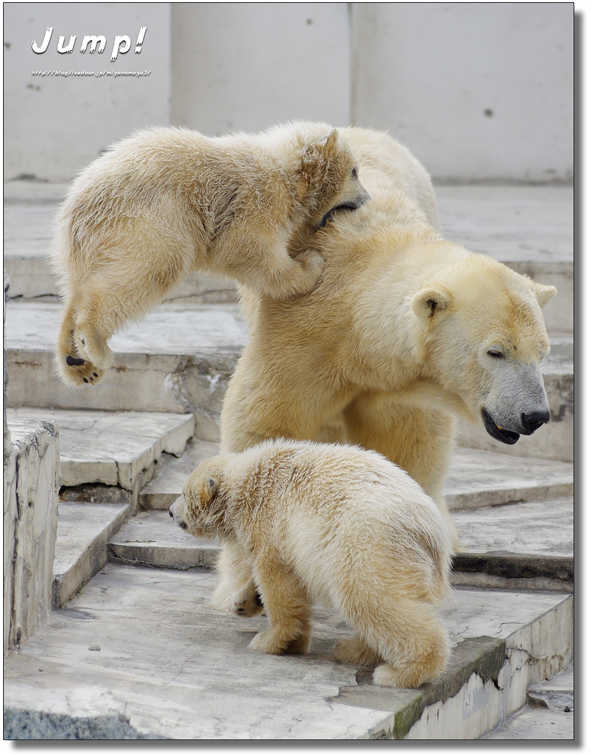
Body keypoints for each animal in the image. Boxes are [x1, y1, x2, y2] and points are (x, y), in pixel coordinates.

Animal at [213, 127, 556, 616]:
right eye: (496, 352)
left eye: (542, 353)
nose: (535, 415)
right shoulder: (301, 328)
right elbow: (266, 422)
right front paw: (246, 590)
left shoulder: (396, 384)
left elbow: (406, 447)